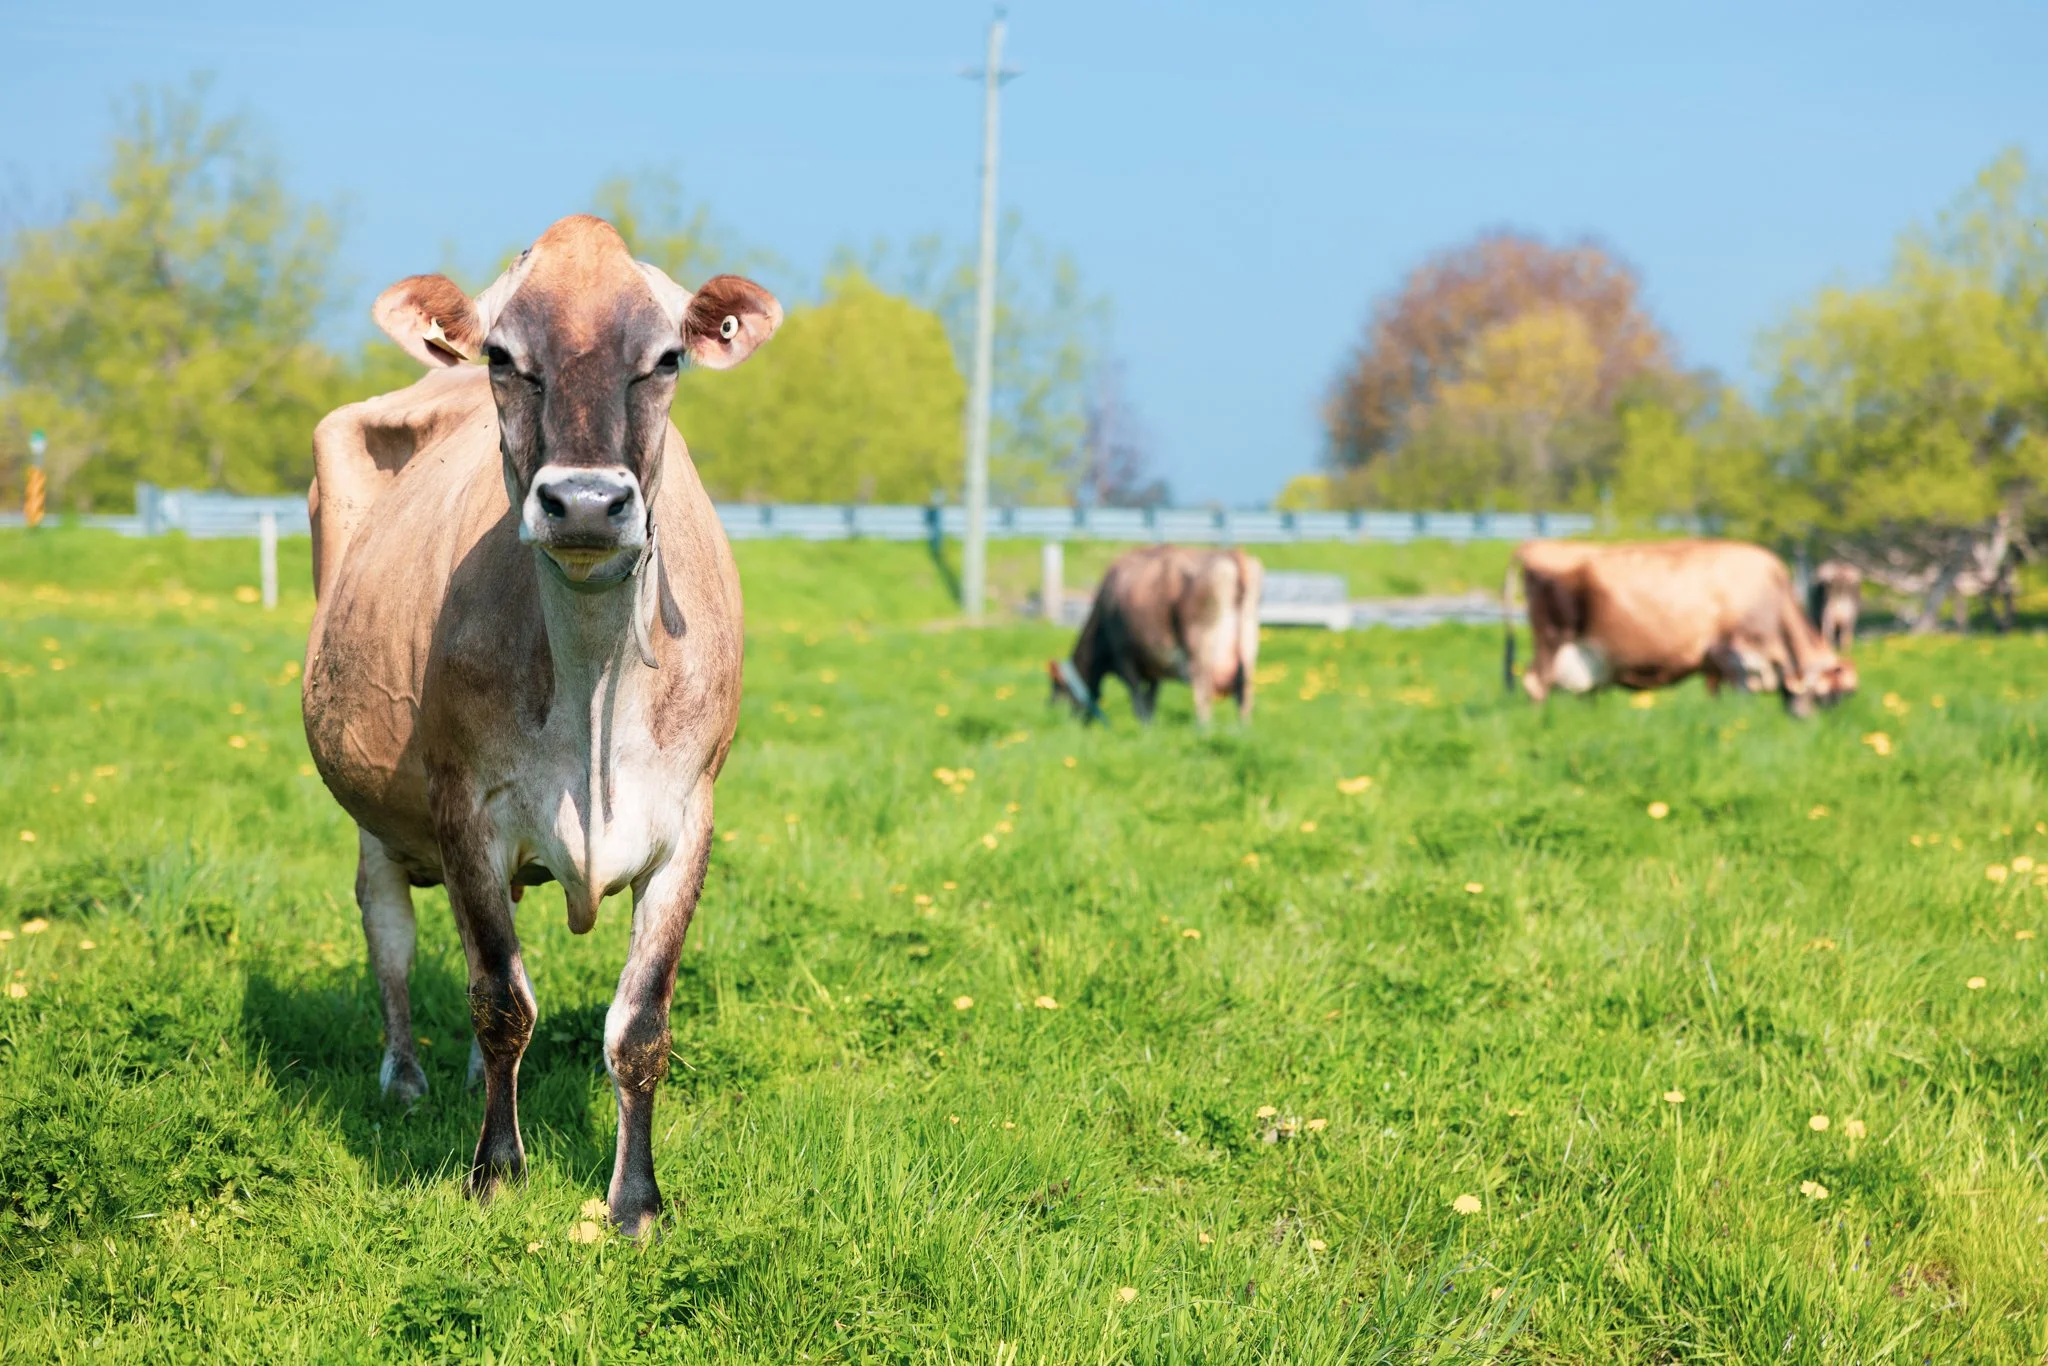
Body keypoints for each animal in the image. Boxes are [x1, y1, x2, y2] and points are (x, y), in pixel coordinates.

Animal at [301, 215, 780, 1237]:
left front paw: (635, 1204)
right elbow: (497, 1000)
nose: (588, 502)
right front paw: (494, 1170)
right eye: (501, 355)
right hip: (376, 819)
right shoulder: (465, 805)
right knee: (392, 935)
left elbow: (639, 1026)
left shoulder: (690, 820)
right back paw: (406, 1076)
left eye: (668, 357)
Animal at [1048, 545, 1263, 725]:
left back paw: (1204, 730)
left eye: (1057, 688)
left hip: (1200, 648)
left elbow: (1138, 698)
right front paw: (1151, 730)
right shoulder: (1154, 663)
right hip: (1248, 645)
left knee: (1203, 693)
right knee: (1245, 697)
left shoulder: (1124, 657)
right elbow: (1151, 698)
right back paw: (1242, 730)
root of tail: (1231, 554)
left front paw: (1143, 728)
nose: (1057, 718)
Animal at [1502, 539, 1856, 717]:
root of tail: (1535, 547)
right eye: (1836, 694)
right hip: (1552, 638)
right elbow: (1742, 698)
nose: (1814, 725)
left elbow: (1715, 695)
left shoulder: (1713, 665)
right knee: (1536, 683)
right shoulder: (1732, 654)